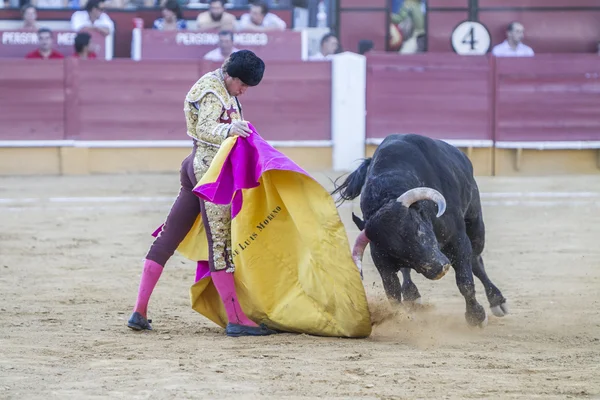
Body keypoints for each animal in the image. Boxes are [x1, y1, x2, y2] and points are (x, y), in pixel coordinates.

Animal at [330, 134, 508, 328]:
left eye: (419, 230)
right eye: (394, 250)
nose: (439, 268)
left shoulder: (457, 239)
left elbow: (465, 281)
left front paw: (476, 317)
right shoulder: (382, 260)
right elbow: (392, 293)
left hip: (475, 223)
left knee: (476, 260)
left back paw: (497, 301)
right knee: (407, 273)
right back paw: (412, 295)